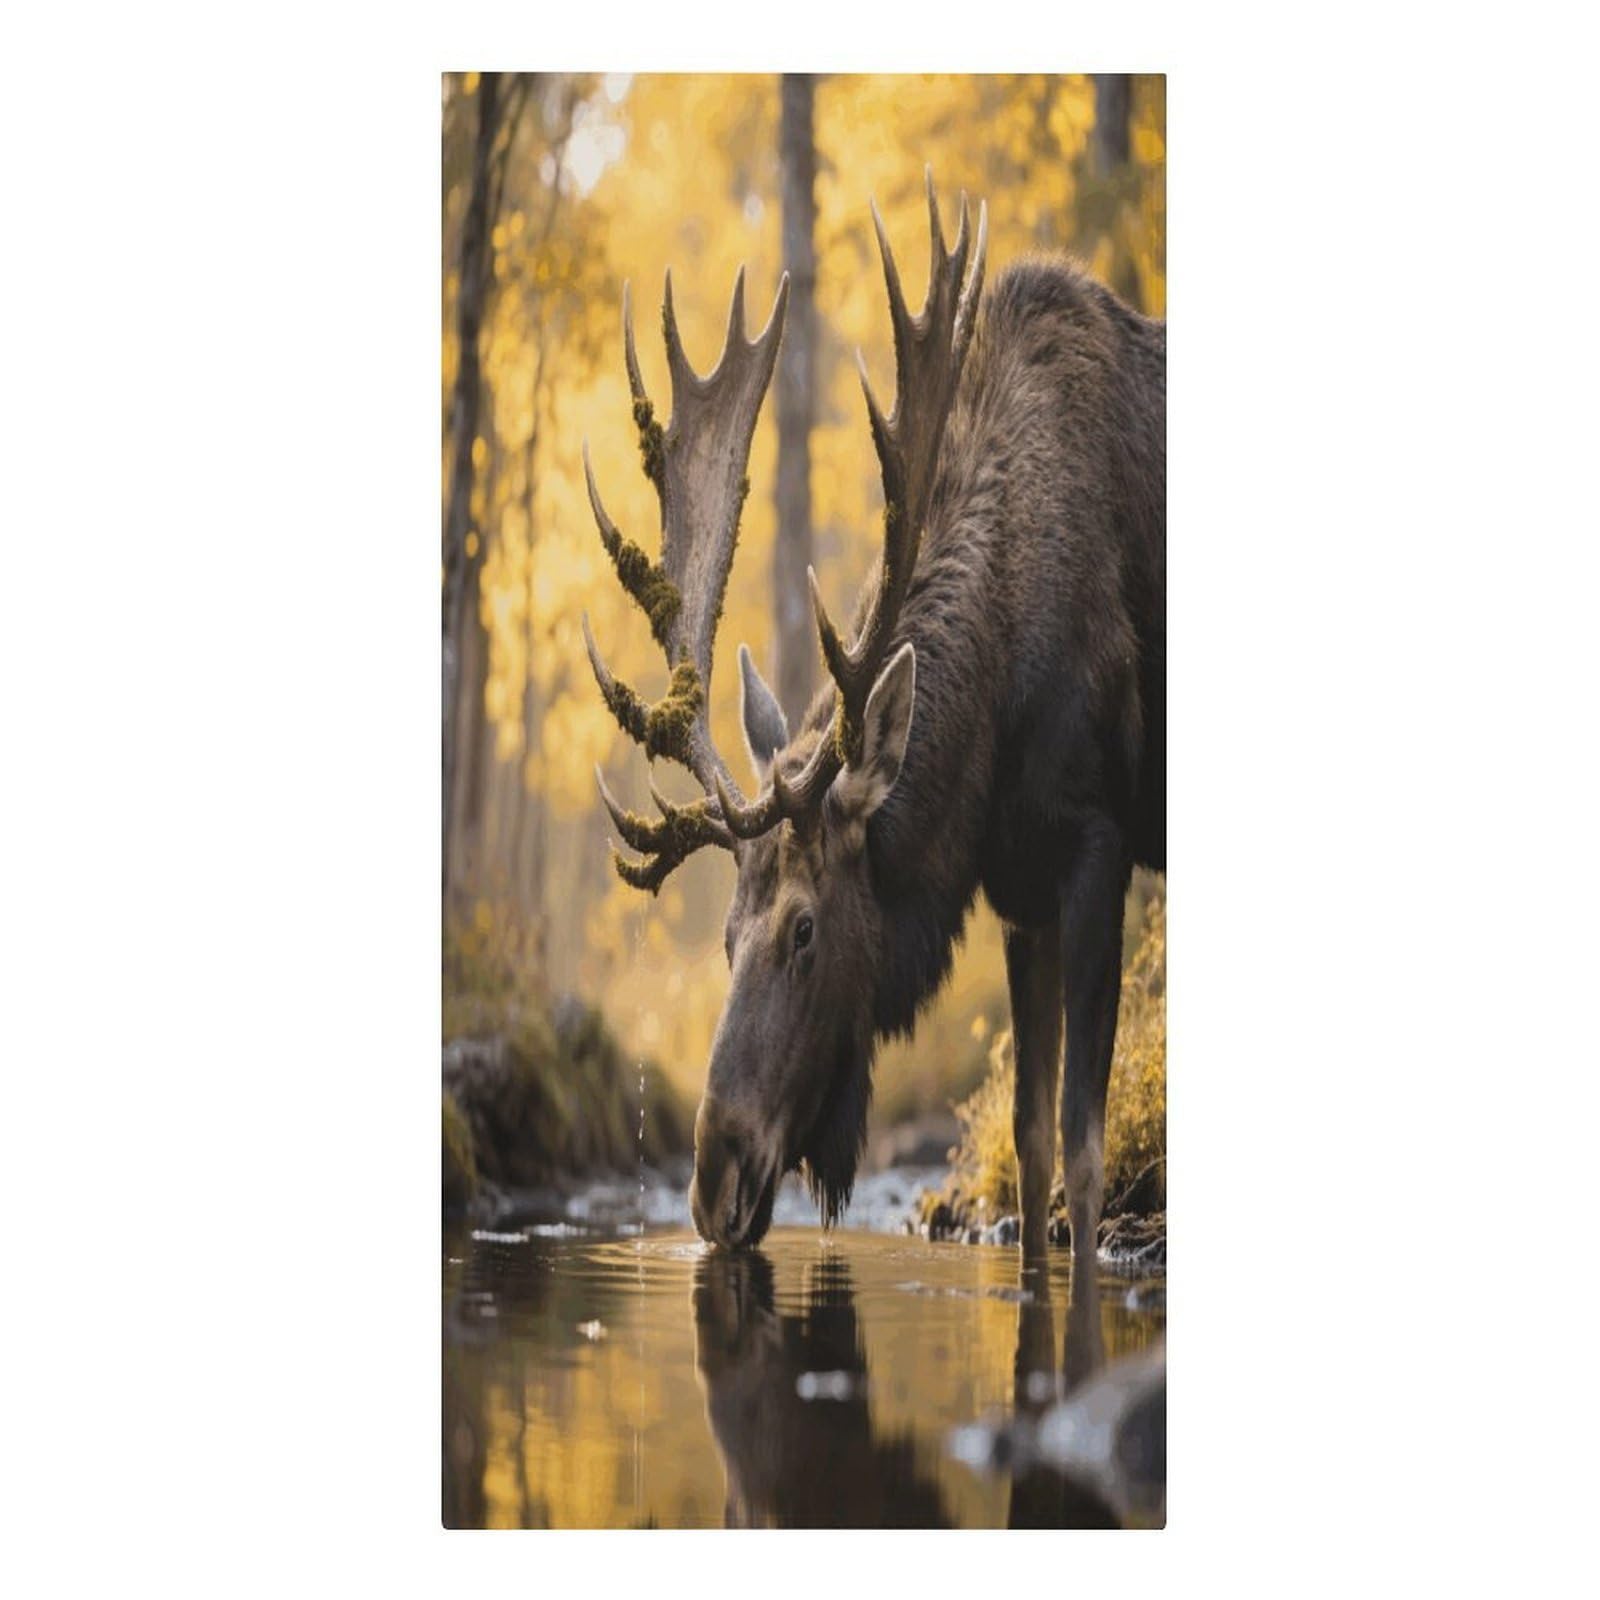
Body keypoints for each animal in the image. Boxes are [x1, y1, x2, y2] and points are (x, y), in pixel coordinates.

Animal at [581, 171, 1165, 1265]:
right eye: (726, 934)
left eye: (805, 930)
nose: (712, 1184)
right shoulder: (1018, 887)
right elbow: (1027, 1148)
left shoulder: (1096, 839)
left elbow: (1081, 1156)